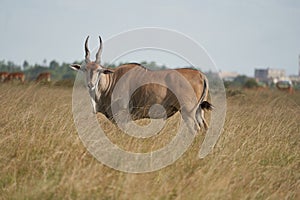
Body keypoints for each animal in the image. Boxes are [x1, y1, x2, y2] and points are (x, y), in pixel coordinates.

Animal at [70, 36, 212, 130]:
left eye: (99, 70)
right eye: (84, 69)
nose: (91, 84)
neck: (112, 80)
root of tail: (201, 75)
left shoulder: (122, 118)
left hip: (188, 112)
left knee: (195, 129)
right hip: (198, 111)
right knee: (203, 127)